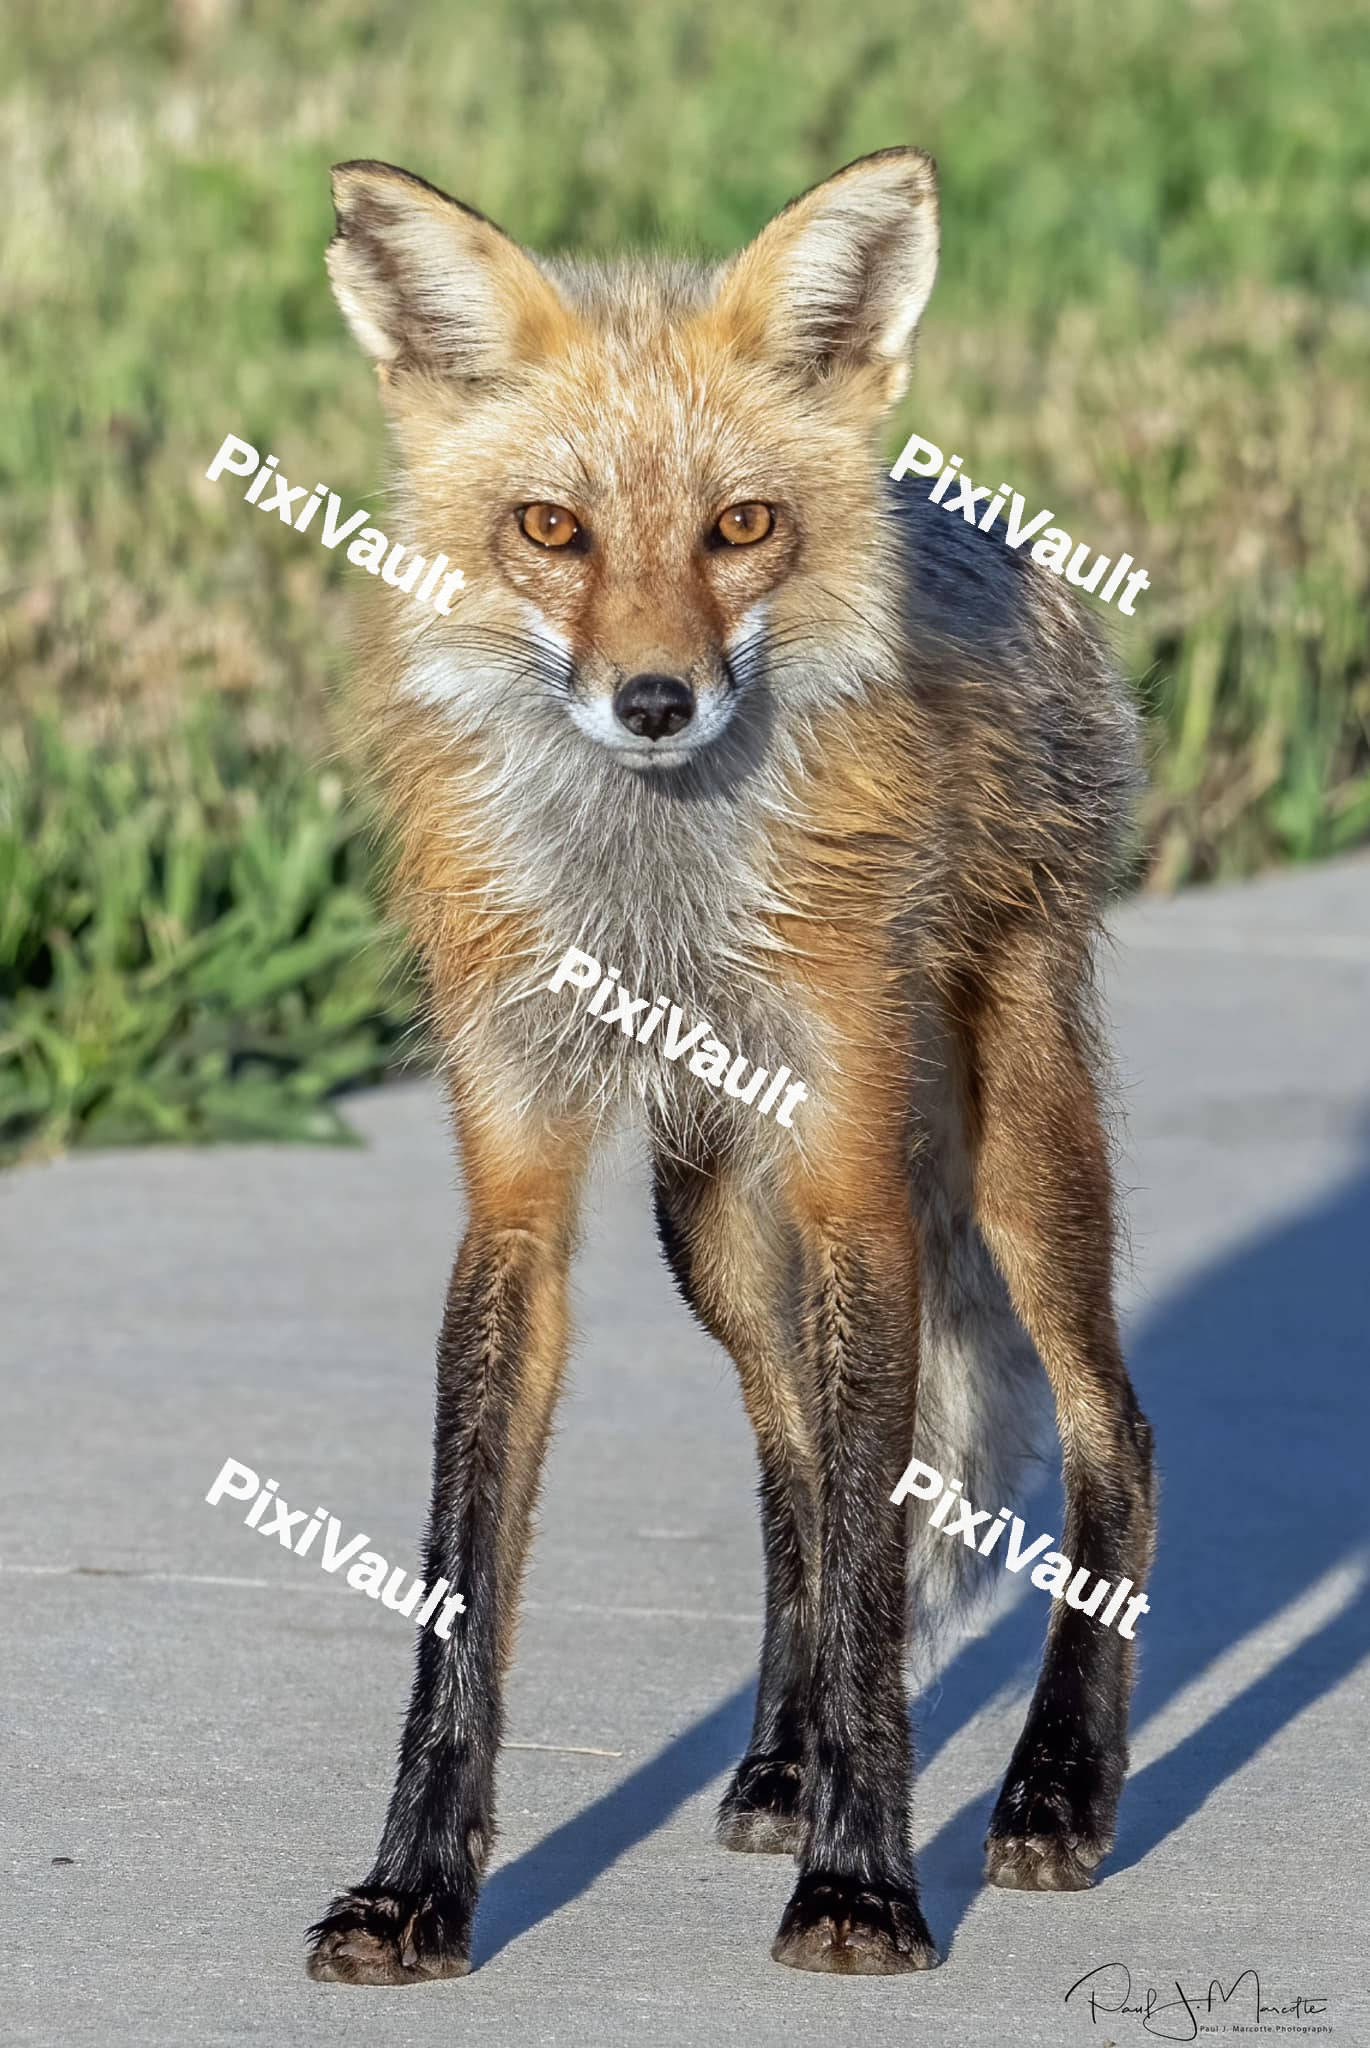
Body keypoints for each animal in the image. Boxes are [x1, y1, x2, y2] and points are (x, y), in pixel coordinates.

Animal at [304, 146, 1156, 1983]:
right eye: (550, 528)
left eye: (742, 525)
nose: (653, 699)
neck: (654, 899)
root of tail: (972, 515)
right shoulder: (521, 1186)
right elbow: (470, 1583)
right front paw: (413, 1888)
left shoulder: (851, 1180)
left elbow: (879, 1561)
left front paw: (865, 1883)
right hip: (706, 1217)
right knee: (794, 1477)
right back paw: (782, 1755)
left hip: (1012, 1145)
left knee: (1109, 1432)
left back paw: (1058, 1783)